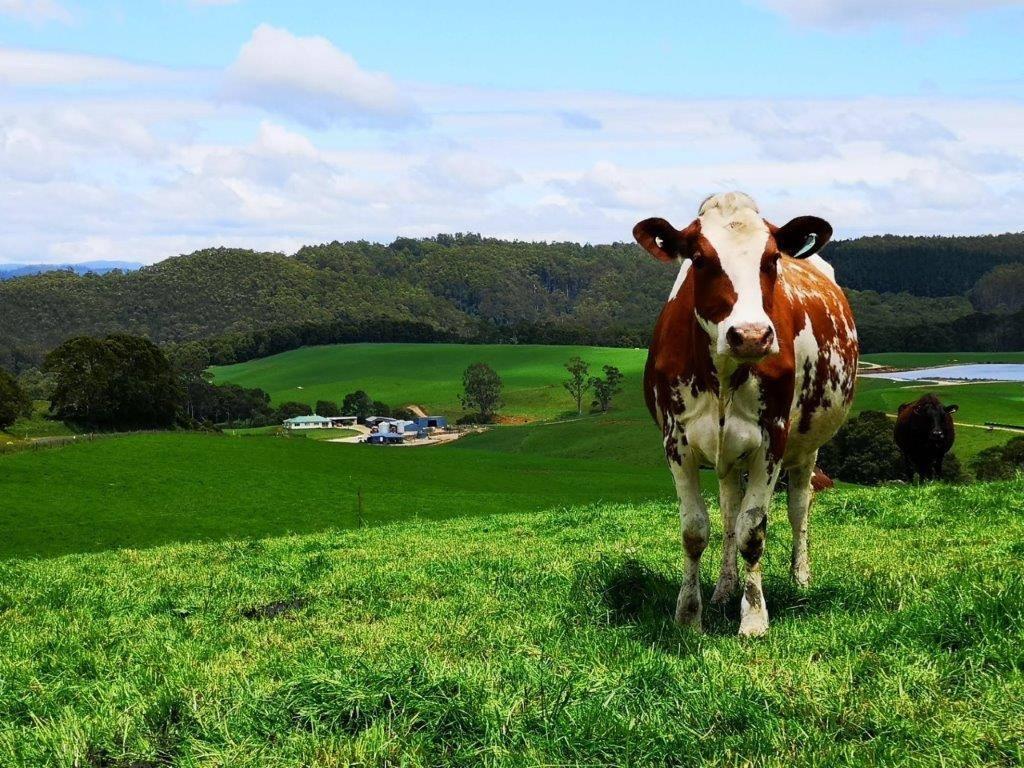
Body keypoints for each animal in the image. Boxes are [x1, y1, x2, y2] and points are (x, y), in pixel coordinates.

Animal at [634, 192, 860, 638]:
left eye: (771, 258)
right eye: (699, 258)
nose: (752, 335)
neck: (723, 374)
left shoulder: (771, 440)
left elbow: (753, 532)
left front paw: (754, 618)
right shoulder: (676, 442)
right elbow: (697, 530)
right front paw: (690, 614)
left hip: (806, 448)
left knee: (798, 507)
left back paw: (800, 577)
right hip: (727, 457)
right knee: (728, 513)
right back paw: (724, 587)